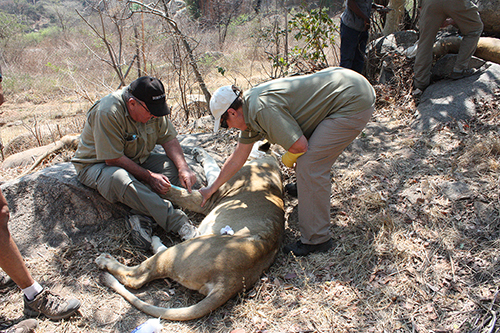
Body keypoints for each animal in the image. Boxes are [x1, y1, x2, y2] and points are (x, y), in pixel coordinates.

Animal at [95, 145, 286, 320]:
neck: (268, 160)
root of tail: (232, 281)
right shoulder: (218, 182)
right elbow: (212, 166)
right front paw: (199, 152)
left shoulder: (206, 198)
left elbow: (175, 192)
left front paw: (149, 181)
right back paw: (155, 241)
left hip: (184, 251)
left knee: (136, 278)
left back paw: (105, 261)